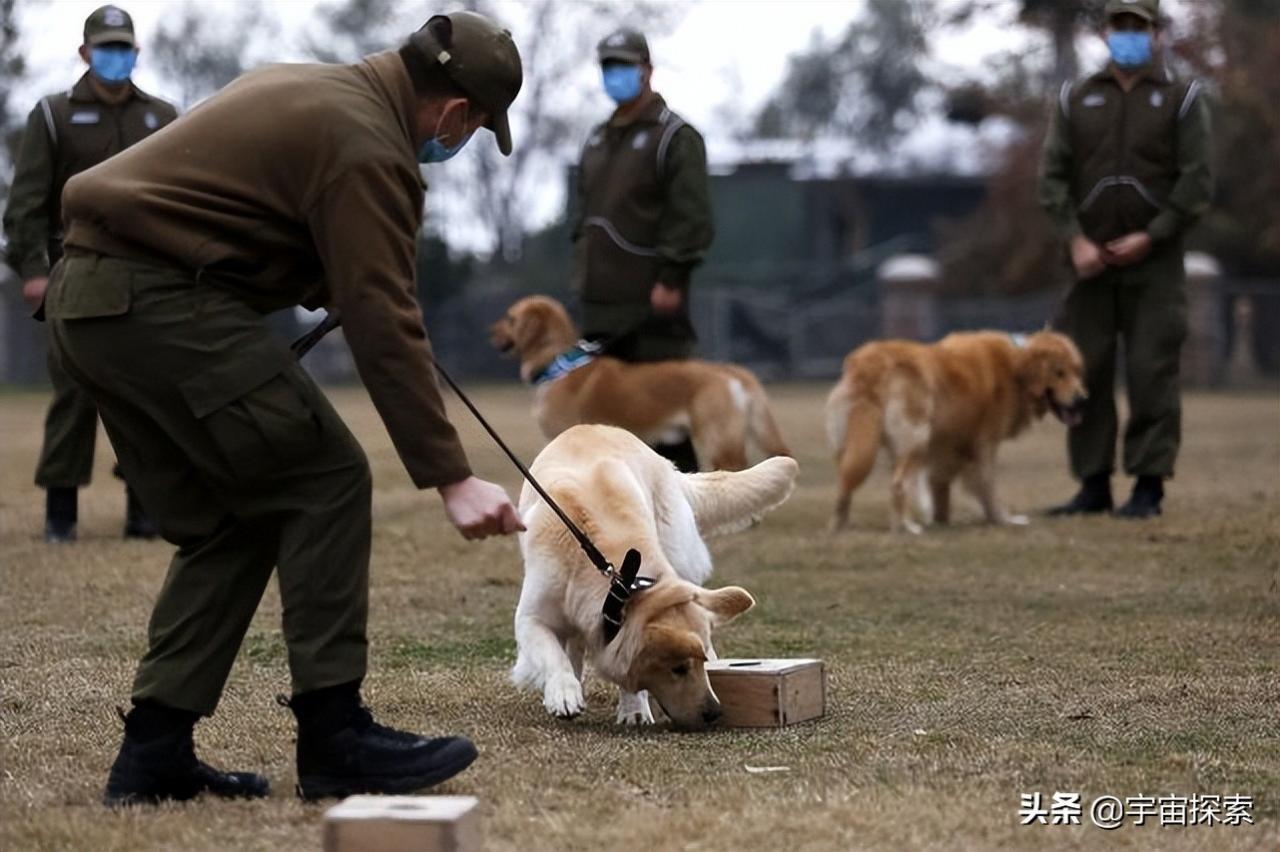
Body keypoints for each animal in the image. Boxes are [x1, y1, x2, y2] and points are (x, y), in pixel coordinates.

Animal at [506, 422, 788, 726]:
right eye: (678, 668)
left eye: (701, 664)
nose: (715, 713)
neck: (619, 582)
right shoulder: (530, 618)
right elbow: (553, 656)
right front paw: (563, 693)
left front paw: (634, 710)